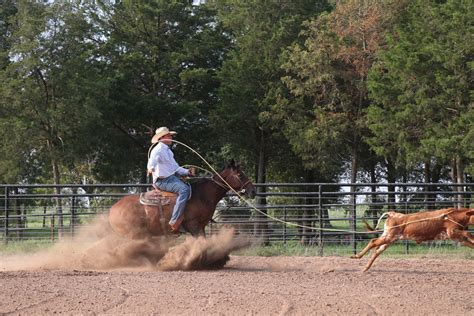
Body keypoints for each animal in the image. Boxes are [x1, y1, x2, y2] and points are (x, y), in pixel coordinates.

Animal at [109, 160, 256, 239]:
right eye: (240, 175)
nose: (253, 191)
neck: (202, 195)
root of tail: (113, 209)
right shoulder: (193, 225)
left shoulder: (201, 227)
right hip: (133, 235)